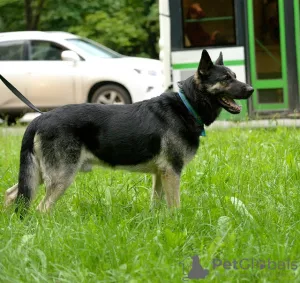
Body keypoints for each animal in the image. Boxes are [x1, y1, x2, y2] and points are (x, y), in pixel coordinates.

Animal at [4, 50, 253, 213]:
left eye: (234, 76)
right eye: (226, 79)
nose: (251, 89)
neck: (187, 105)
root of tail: (40, 118)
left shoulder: (160, 174)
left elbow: (156, 204)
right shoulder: (172, 172)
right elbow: (175, 206)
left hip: (39, 175)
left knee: (11, 194)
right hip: (61, 176)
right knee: (41, 209)